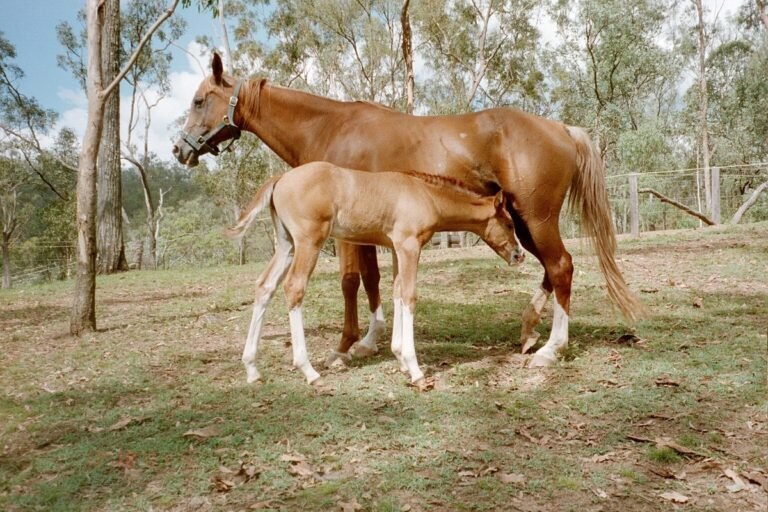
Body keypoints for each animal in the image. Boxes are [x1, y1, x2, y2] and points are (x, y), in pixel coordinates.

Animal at [224, 161, 524, 389]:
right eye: (509, 224)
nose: (519, 255)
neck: (425, 195)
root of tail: (281, 178)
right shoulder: (409, 246)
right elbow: (409, 296)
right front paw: (415, 370)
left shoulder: (397, 248)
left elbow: (397, 293)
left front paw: (400, 358)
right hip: (309, 242)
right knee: (294, 288)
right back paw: (309, 371)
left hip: (286, 244)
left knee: (265, 286)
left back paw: (252, 369)